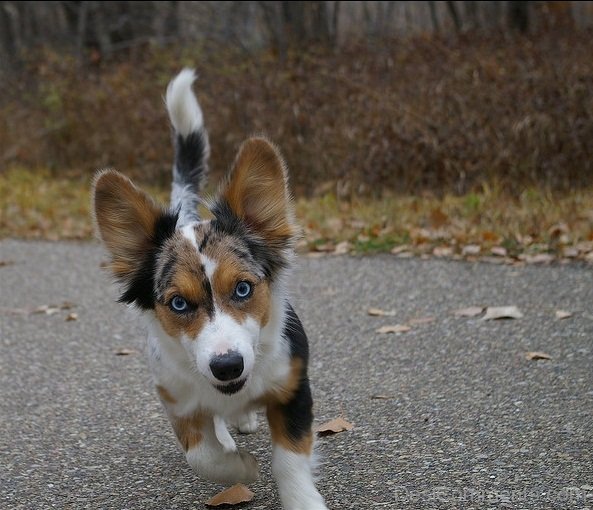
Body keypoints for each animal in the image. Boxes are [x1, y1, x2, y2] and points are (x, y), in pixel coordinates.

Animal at [91, 68, 328, 510]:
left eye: (243, 289)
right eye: (178, 303)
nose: (228, 366)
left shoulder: (292, 386)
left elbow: (289, 459)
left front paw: (302, 500)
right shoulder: (177, 400)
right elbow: (201, 454)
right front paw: (241, 467)